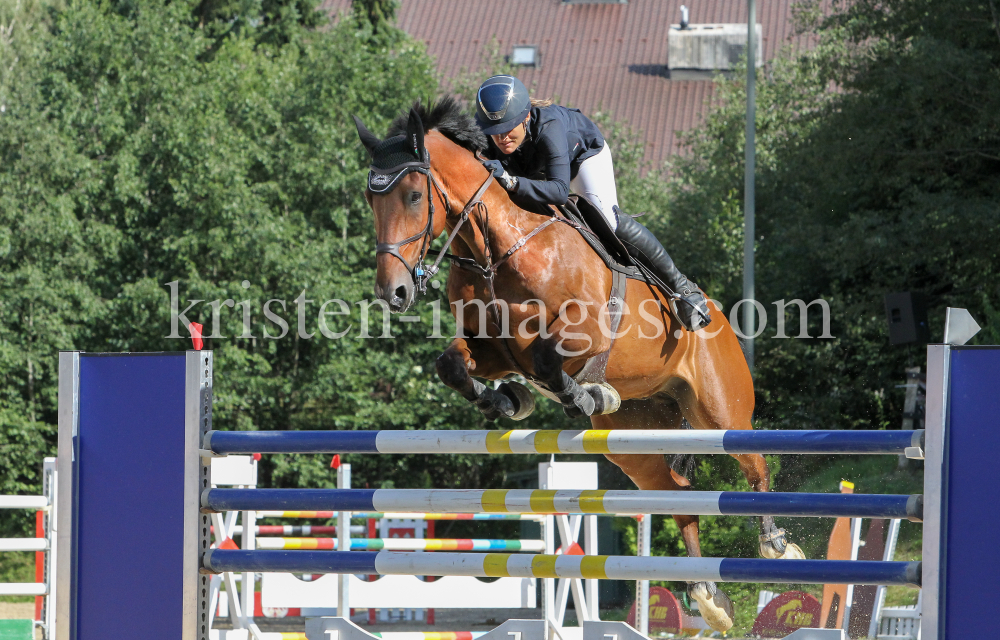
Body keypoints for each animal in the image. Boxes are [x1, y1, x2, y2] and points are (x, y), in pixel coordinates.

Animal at [352, 97, 804, 632]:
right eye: (371, 199)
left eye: (415, 195)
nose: (393, 293)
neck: (493, 247)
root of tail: (721, 319)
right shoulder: (492, 349)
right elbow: (454, 366)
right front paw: (510, 400)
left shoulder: (584, 330)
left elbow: (548, 360)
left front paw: (583, 394)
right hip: (635, 438)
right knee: (676, 493)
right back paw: (707, 596)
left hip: (720, 411)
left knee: (755, 465)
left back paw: (776, 546)